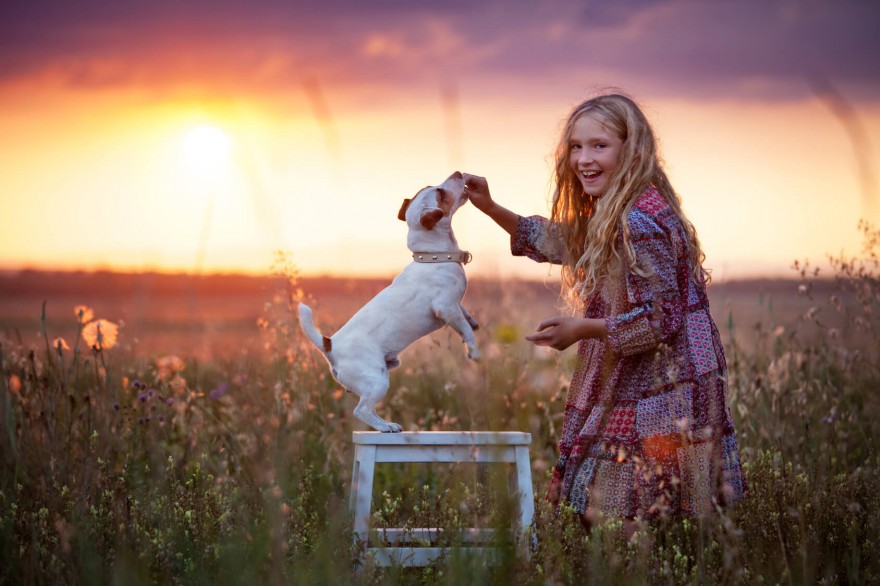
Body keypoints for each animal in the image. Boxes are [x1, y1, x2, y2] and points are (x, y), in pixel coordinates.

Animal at [300, 169, 482, 428]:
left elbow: (465, 314)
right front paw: (473, 351)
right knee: (361, 411)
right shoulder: (445, 308)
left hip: (378, 379)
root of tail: (330, 345)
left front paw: (473, 322)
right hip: (377, 380)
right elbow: (465, 330)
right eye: (440, 192)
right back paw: (386, 427)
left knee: (369, 409)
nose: (458, 173)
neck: (433, 257)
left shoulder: (454, 306)